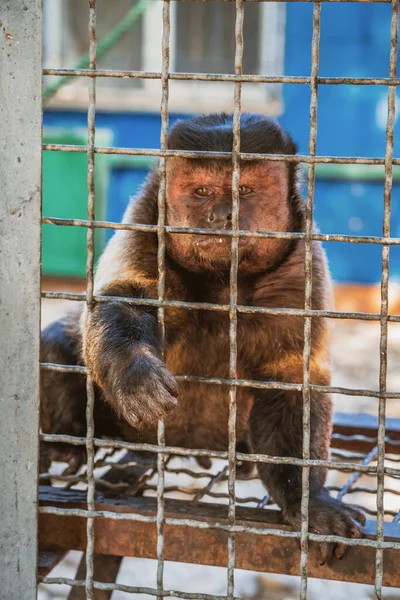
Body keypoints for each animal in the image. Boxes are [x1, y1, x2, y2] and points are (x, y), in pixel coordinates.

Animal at [41, 112, 366, 564]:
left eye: (244, 190)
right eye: (201, 192)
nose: (223, 215)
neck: (221, 281)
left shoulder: (302, 265)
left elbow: (290, 378)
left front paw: (308, 501)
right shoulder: (145, 227)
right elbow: (124, 304)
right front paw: (135, 374)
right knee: (59, 342)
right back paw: (71, 444)